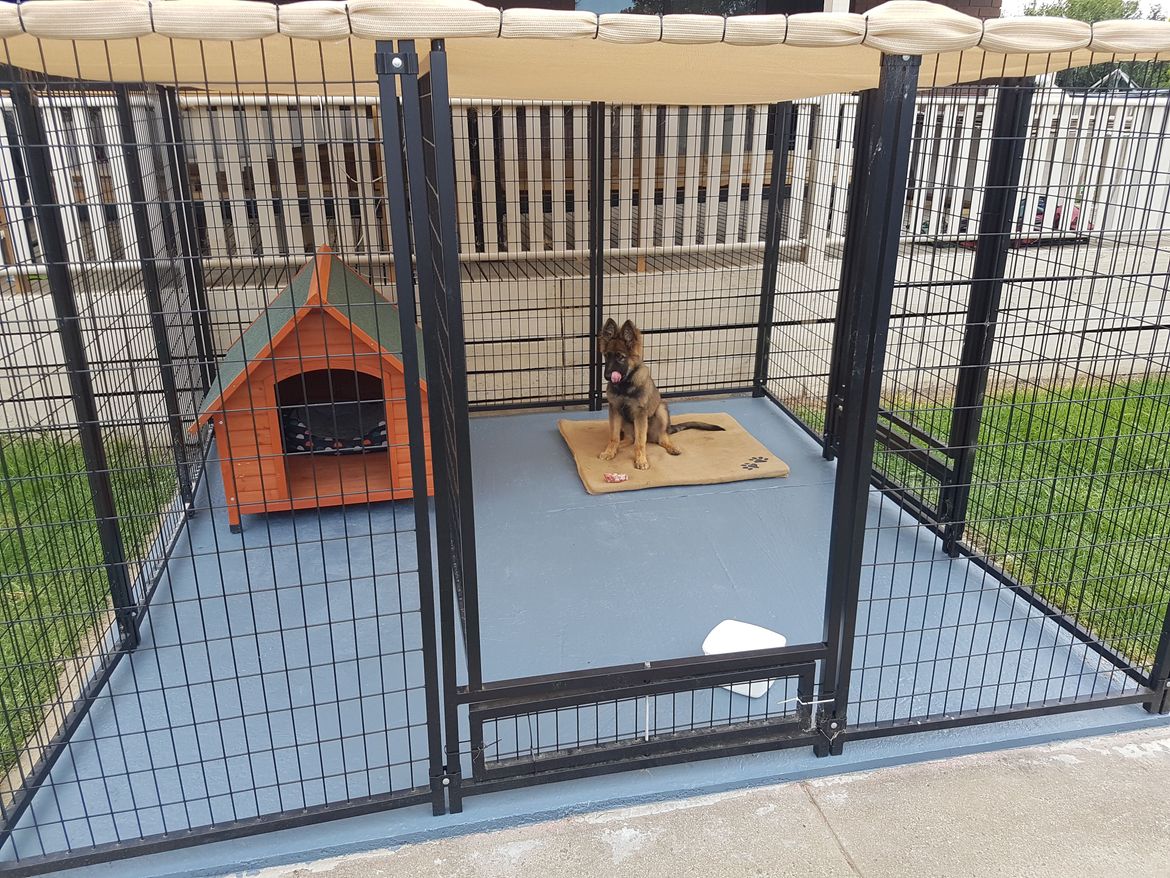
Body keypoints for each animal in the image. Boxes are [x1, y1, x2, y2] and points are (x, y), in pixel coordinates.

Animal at [603, 320, 720, 470]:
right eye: (606, 355)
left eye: (620, 357)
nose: (607, 376)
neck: (625, 385)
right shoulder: (615, 410)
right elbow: (614, 437)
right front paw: (610, 451)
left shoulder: (640, 414)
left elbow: (640, 442)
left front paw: (641, 460)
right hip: (626, 421)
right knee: (630, 439)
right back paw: (619, 446)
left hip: (661, 410)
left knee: (660, 438)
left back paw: (671, 446)